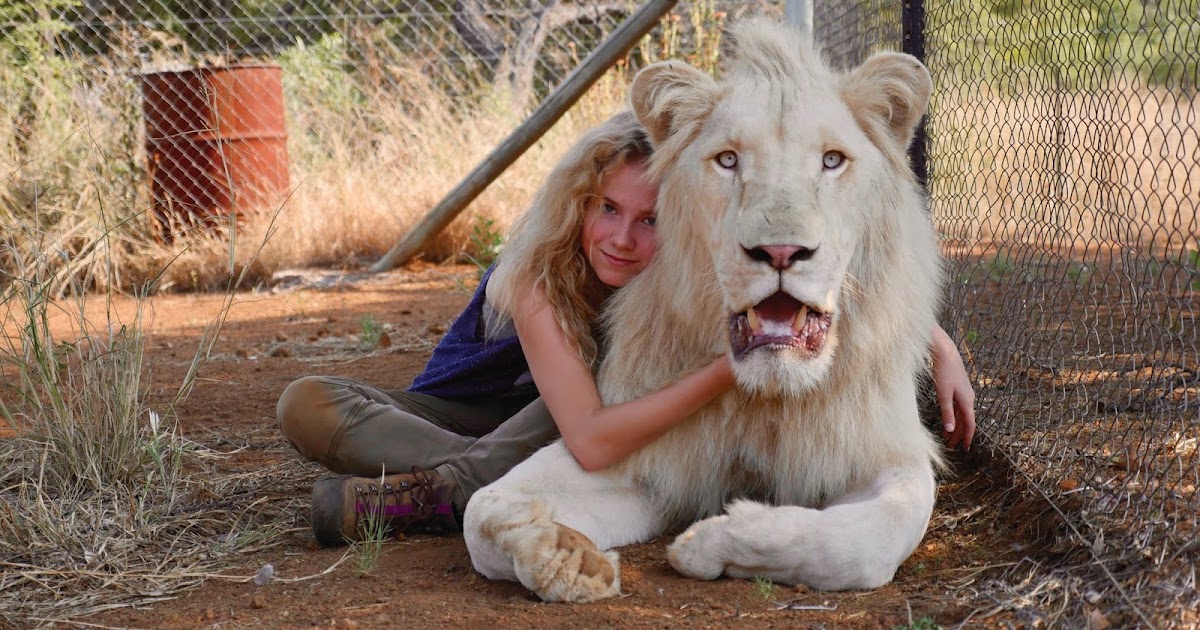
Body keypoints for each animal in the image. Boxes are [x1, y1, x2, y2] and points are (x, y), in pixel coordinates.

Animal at [463, 17, 940, 602]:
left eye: (832, 160)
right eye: (728, 160)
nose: (780, 251)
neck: (765, 398)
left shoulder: (886, 453)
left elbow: (867, 543)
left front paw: (714, 540)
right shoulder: (641, 451)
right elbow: (482, 509)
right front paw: (563, 557)